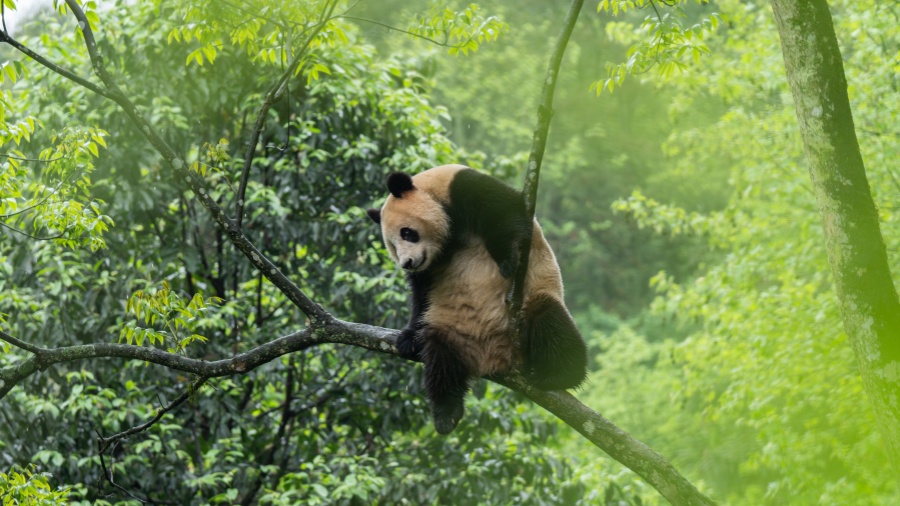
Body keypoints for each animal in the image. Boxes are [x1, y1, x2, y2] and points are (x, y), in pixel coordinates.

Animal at [370, 164, 588, 432]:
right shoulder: (429, 267)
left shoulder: (464, 187)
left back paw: (558, 374)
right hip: (452, 330)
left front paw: (508, 262)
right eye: (391, 246)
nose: (408, 263)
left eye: (407, 233)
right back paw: (446, 415)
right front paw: (408, 337)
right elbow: (422, 294)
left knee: (550, 322)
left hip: (533, 301)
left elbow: (507, 214)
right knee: (441, 360)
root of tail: (495, 356)